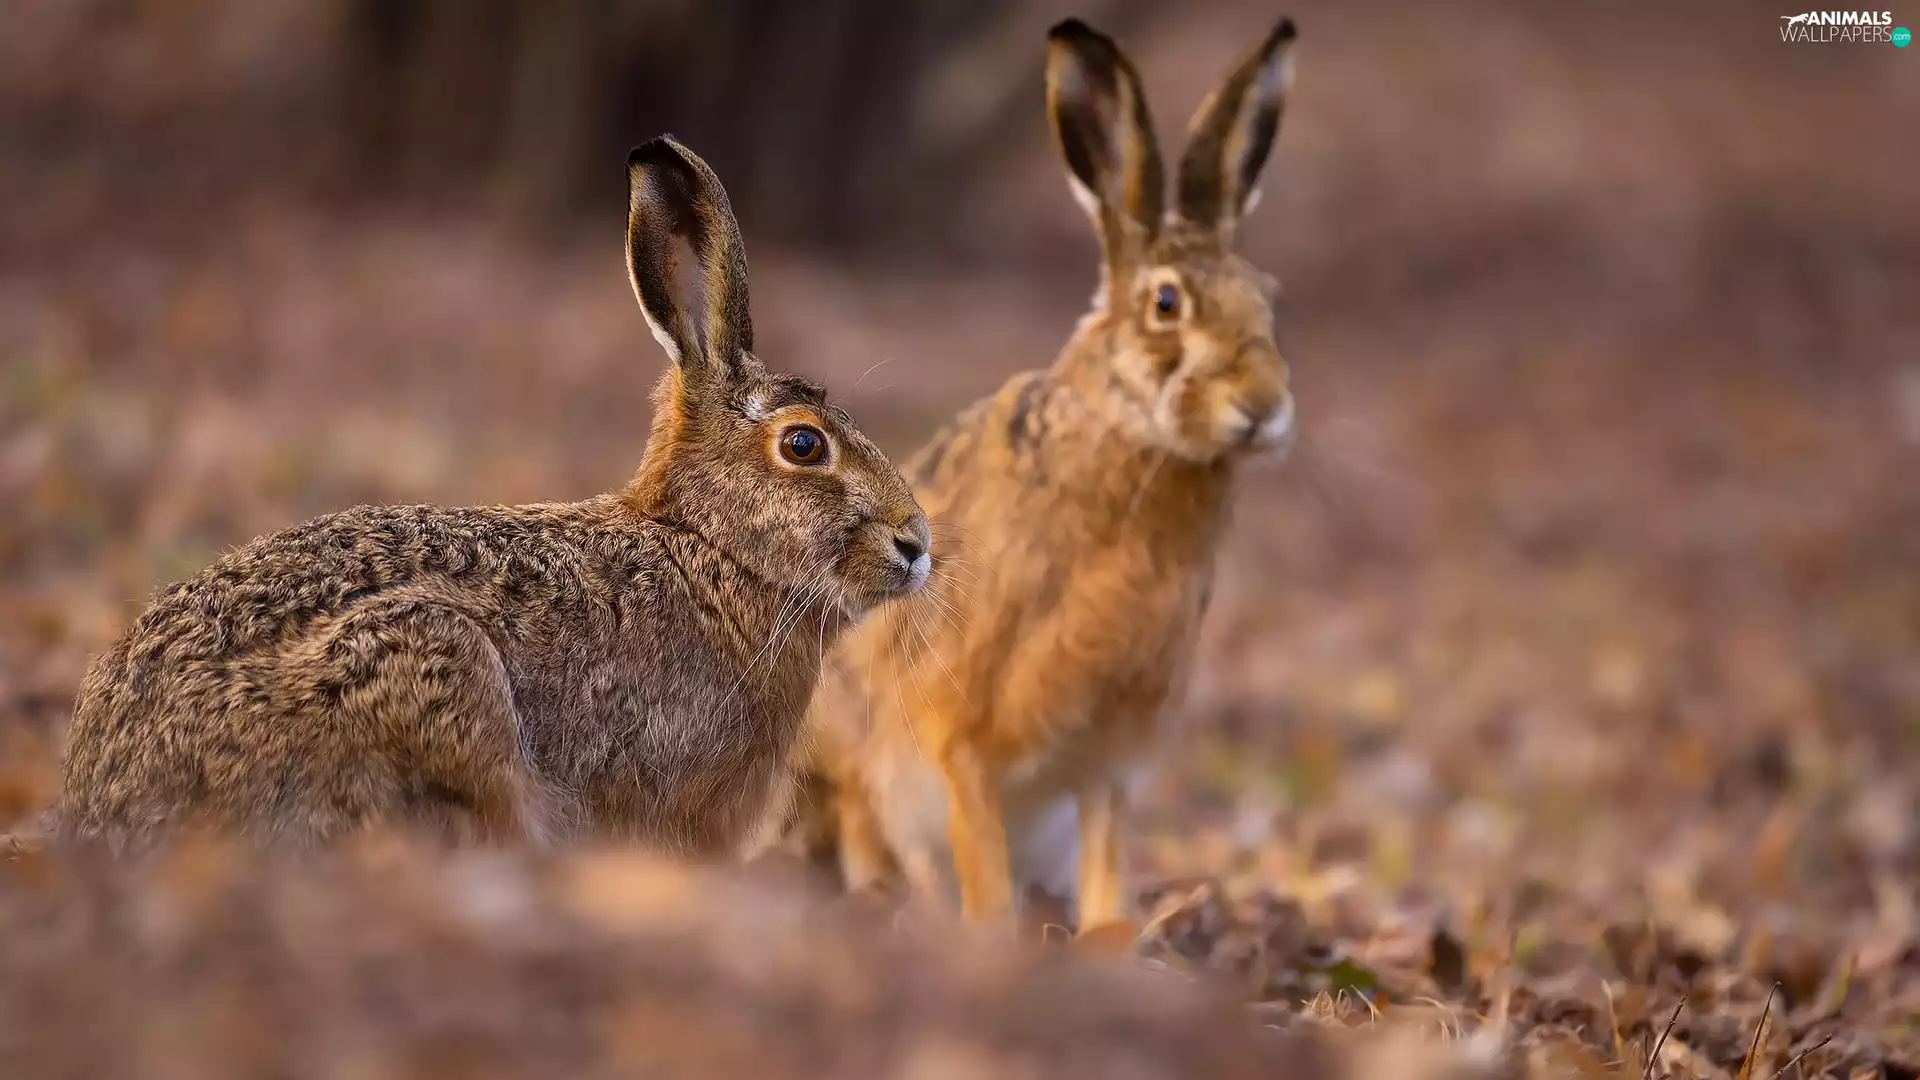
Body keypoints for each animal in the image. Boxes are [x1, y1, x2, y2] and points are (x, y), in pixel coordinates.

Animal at [787, 17, 1300, 929]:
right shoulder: (958, 739)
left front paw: (1111, 936)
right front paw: (996, 938)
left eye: (1267, 299)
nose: (1263, 405)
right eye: (1166, 305)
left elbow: (1107, 854)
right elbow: (977, 852)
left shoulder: (1108, 754)